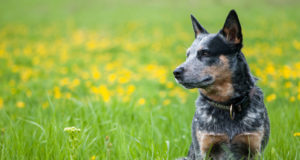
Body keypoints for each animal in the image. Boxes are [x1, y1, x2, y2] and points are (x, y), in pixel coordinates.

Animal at [173, 9, 270, 159]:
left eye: (205, 53)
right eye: (187, 55)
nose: (176, 72)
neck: (227, 104)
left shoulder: (254, 148)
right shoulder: (204, 148)